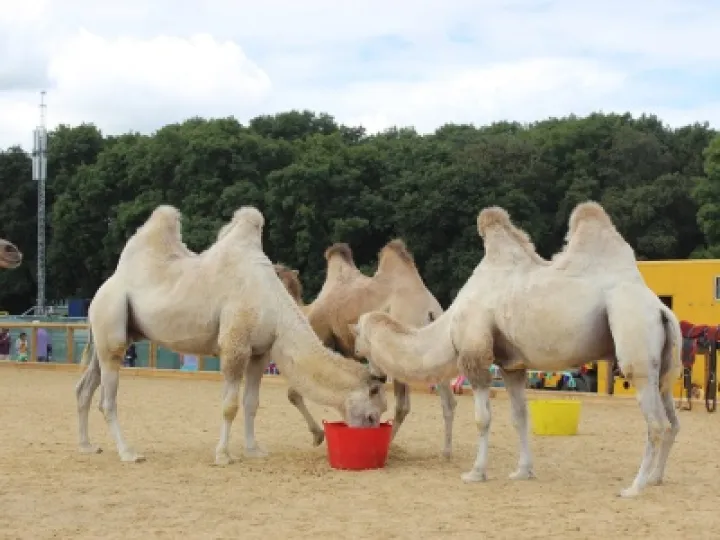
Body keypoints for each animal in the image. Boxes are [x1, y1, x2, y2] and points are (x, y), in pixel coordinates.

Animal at [74, 205, 388, 465]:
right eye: (373, 414)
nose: (372, 435)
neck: (273, 304)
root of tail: (102, 289)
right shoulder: (235, 346)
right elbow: (230, 405)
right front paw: (223, 455)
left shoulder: (260, 352)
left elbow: (251, 404)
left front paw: (254, 449)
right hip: (111, 320)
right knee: (107, 399)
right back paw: (128, 452)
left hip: (114, 335)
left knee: (84, 388)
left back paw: (87, 446)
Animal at [274, 240, 457, 458]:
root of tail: (430, 312)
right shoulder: (347, 352)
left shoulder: (320, 340)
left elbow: (295, 392)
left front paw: (319, 435)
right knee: (447, 400)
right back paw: (445, 451)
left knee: (403, 405)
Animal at [350, 201, 682, 498]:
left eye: (360, 341)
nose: (370, 370)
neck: (449, 327)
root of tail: (660, 308)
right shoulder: (511, 366)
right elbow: (519, 416)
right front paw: (523, 471)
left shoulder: (476, 357)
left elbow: (482, 419)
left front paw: (475, 473)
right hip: (663, 366)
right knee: (672, 421)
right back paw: (656, 478)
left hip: (635, 339)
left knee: (655, 423)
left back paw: (634, 487)